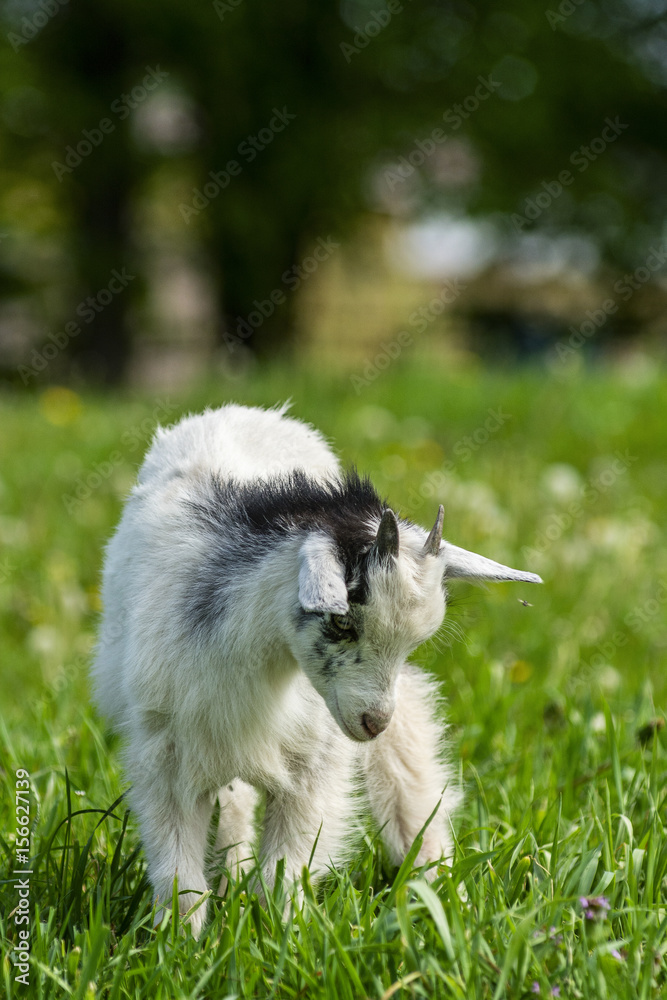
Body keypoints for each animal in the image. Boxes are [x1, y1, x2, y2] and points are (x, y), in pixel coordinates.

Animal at [92, 402, 544, 932]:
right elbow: (180, 873)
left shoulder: (316, 759)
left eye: (413, 644)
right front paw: (183, 942)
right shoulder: (167, 750)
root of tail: (244, 411)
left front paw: (277, 931)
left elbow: (285, 868)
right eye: (342, 622)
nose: (373, 723)